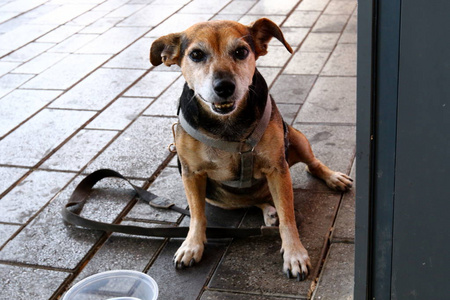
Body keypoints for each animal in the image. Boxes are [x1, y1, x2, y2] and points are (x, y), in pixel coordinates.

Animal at [149, 18, 354, 282]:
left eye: (241, 52)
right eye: (196, 55)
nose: (224, 86)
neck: (227, 126)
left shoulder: (277, 169)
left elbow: (288, 218)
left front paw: (295, 254)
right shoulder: (191, 174)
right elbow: (197, 216)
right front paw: (192, 246)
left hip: (296, 138)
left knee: (312, 165)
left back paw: (332, 178)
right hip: (219, 198)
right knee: (252, 201)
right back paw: (268, 210)